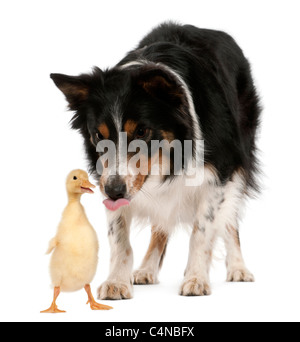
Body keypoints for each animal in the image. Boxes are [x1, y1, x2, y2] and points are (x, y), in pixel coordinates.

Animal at [49, 22, 260, 300]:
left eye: (141, 131)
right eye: (98, 135)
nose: (114, 191)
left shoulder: (221, 171)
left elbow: (202, 231)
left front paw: (196, 278)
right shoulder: (109, 178)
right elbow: (119, 238)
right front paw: (117, 281)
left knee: (230, 219)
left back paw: (238, 268)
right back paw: (147, 269)